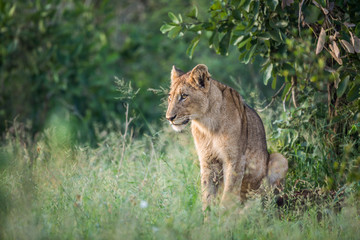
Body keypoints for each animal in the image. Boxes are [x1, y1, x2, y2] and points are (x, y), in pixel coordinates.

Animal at [167, 64, 290, 212]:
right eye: (170, 97)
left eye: (184, 96)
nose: (169, 118)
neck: (207, 125)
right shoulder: (208, 160)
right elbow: (207, 194)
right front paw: (207, 216)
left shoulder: (235, 158)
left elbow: (229, 192)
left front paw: (224, 215)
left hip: (279, 159)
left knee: (266, 200)